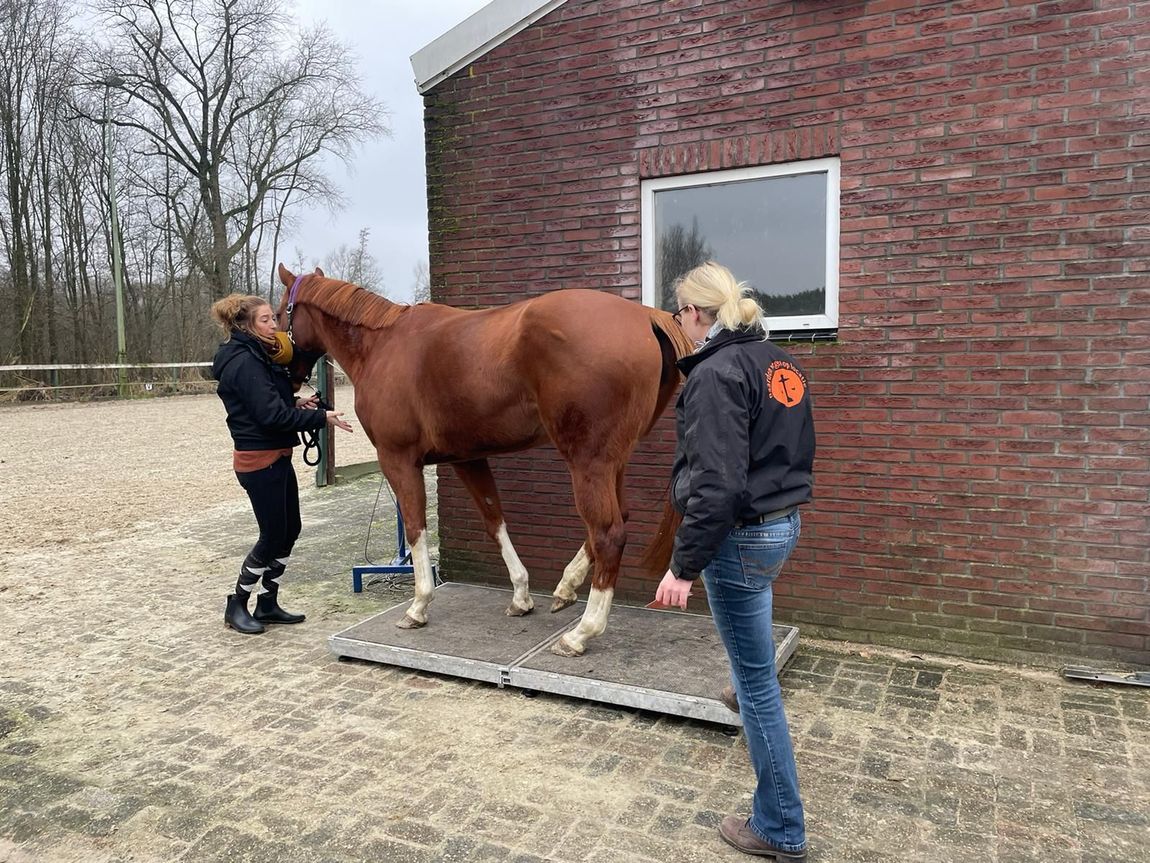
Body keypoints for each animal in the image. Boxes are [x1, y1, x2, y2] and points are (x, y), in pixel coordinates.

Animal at [275, 264, 694, 656]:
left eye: (279, 313)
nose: (288, 375)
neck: (382, 344)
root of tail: (645, 316)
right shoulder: (468, 458)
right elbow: (495, 521)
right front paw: (521, 597)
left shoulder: (398, 460)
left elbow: (415, 526)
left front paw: (418, 605)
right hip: (612, 460)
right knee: (616, 519)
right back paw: (566, 587)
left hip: (588, 461)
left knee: (608, 533)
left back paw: (581, 633)